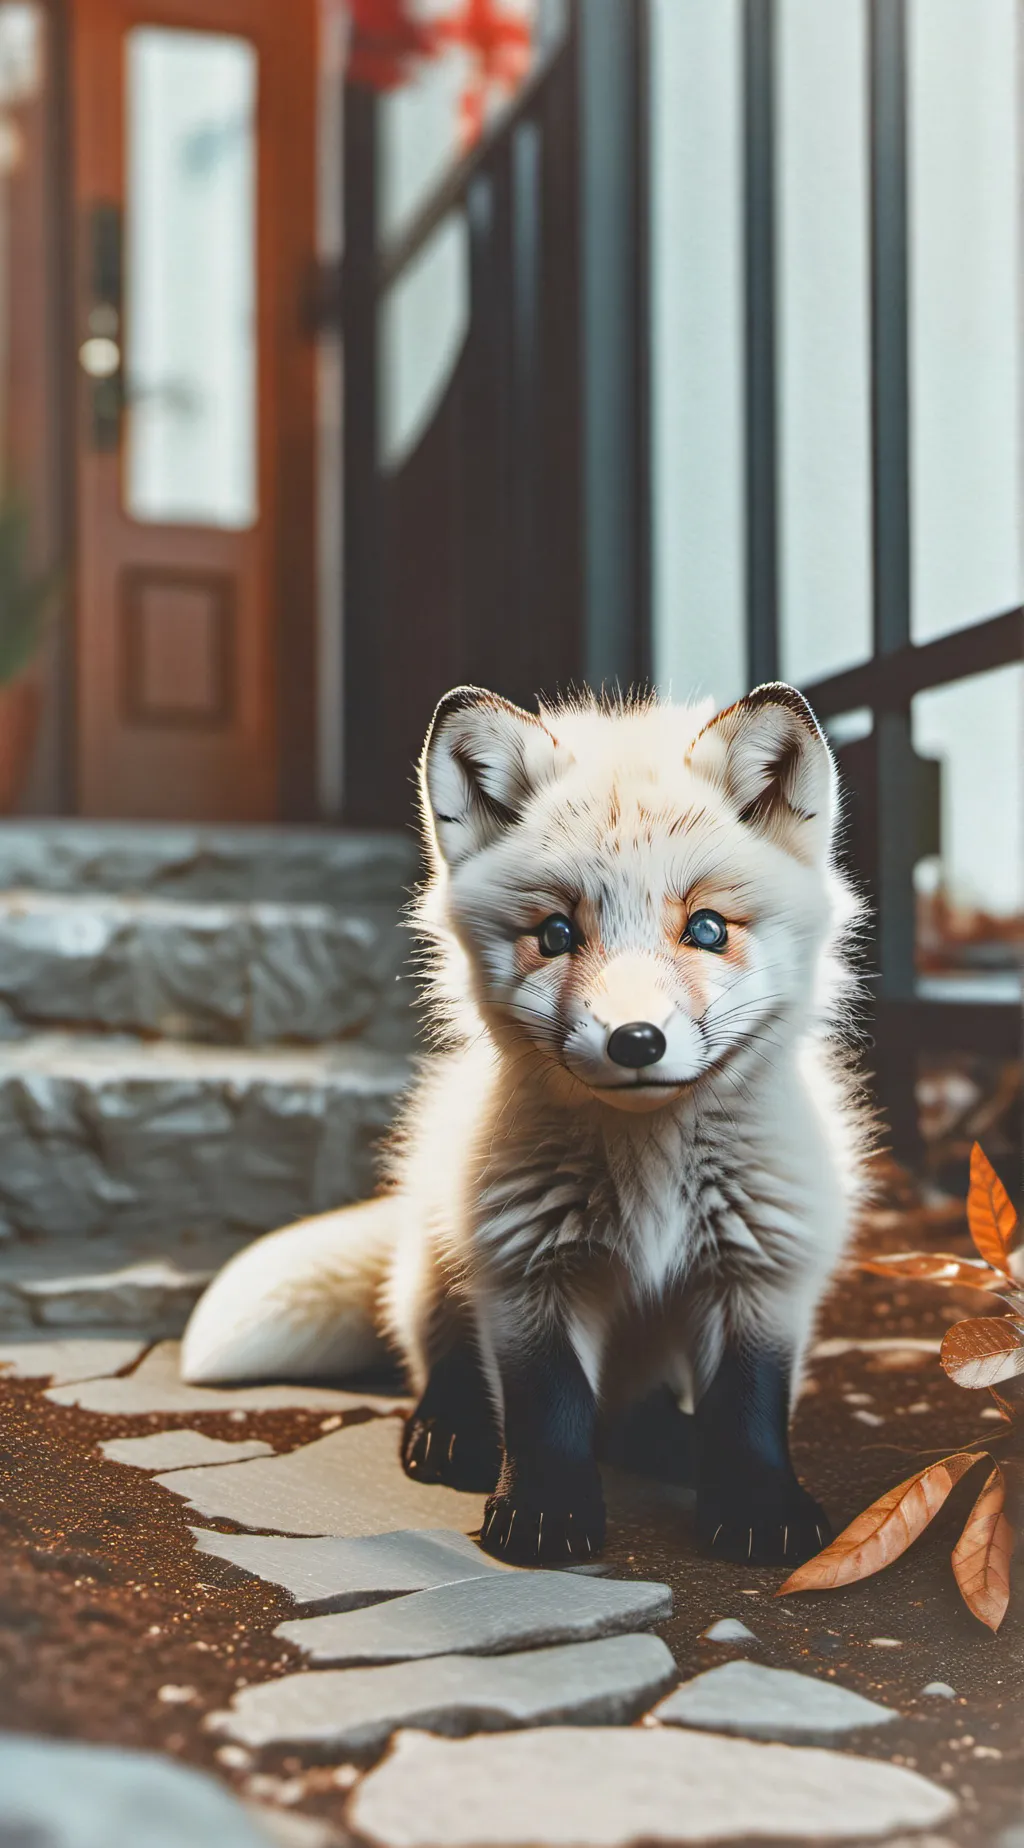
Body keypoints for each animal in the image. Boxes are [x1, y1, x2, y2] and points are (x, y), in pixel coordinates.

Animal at [182, 681, 869, 1568]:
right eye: (556, 934)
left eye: (709, 928)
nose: (635, 1041)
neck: (648, 1172)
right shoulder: (524, 1267)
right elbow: (549, 1408)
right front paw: (544, 1512)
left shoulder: (762, 1270)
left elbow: (749, 1406)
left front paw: (758, 1506)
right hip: (442, 1254)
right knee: (443, 1357)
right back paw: (449, 1431)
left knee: (634, 1408)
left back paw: (665, 1439)